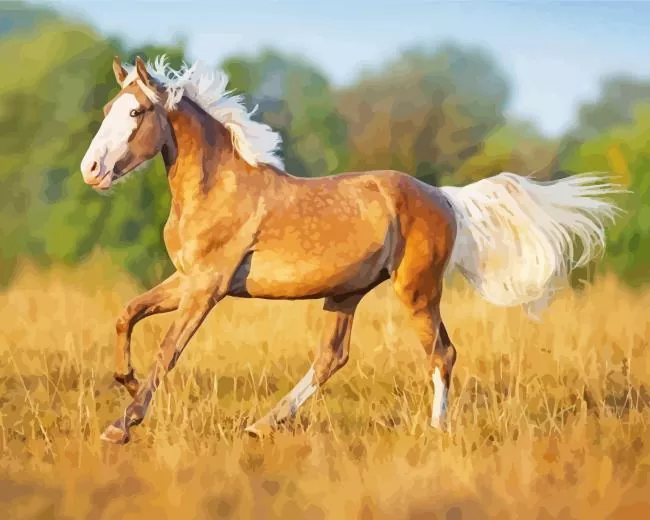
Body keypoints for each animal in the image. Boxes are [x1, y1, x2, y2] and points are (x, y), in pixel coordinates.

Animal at [80, 55, 622, 444]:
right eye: (108, 111)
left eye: (136, 111)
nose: (91, 170)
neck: (218, 189)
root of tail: (444, 197)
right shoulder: (187, 280)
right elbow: (127, 314)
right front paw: (126, 380)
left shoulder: (208, 288)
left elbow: (169, 349)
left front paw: (121, 425)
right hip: (345, 293)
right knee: (332, 357)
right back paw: (263, 424)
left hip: (416, 290)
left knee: (441, 352)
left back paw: (436, 430)